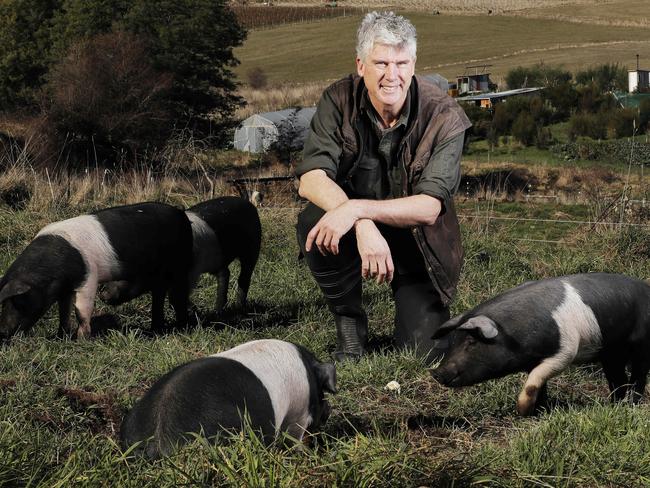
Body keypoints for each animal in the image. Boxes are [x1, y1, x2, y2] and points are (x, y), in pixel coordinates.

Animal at [0, 200, 192, 342]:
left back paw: (177, 328)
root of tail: (181, 214)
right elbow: (64, 312)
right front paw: (61, 337)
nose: (3, 332)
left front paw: (81, 340)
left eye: (17, 300)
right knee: (157, 292)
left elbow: (81, 311)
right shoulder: (65, 288)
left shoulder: (89, 277)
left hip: (179, 263)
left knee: (174, 294)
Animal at [430, 270, 648, 416]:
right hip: (612, 352)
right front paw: (539, 412)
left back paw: (631, 404)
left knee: (639, 376)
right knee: (617, 377)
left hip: (641, 344)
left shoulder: (566, 350)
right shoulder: (531, 360)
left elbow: (537, 378)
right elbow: (539, 383)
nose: (436, 372)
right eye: (454, 340)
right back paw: (614, 404)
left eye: (471, 341)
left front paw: (521, 410)